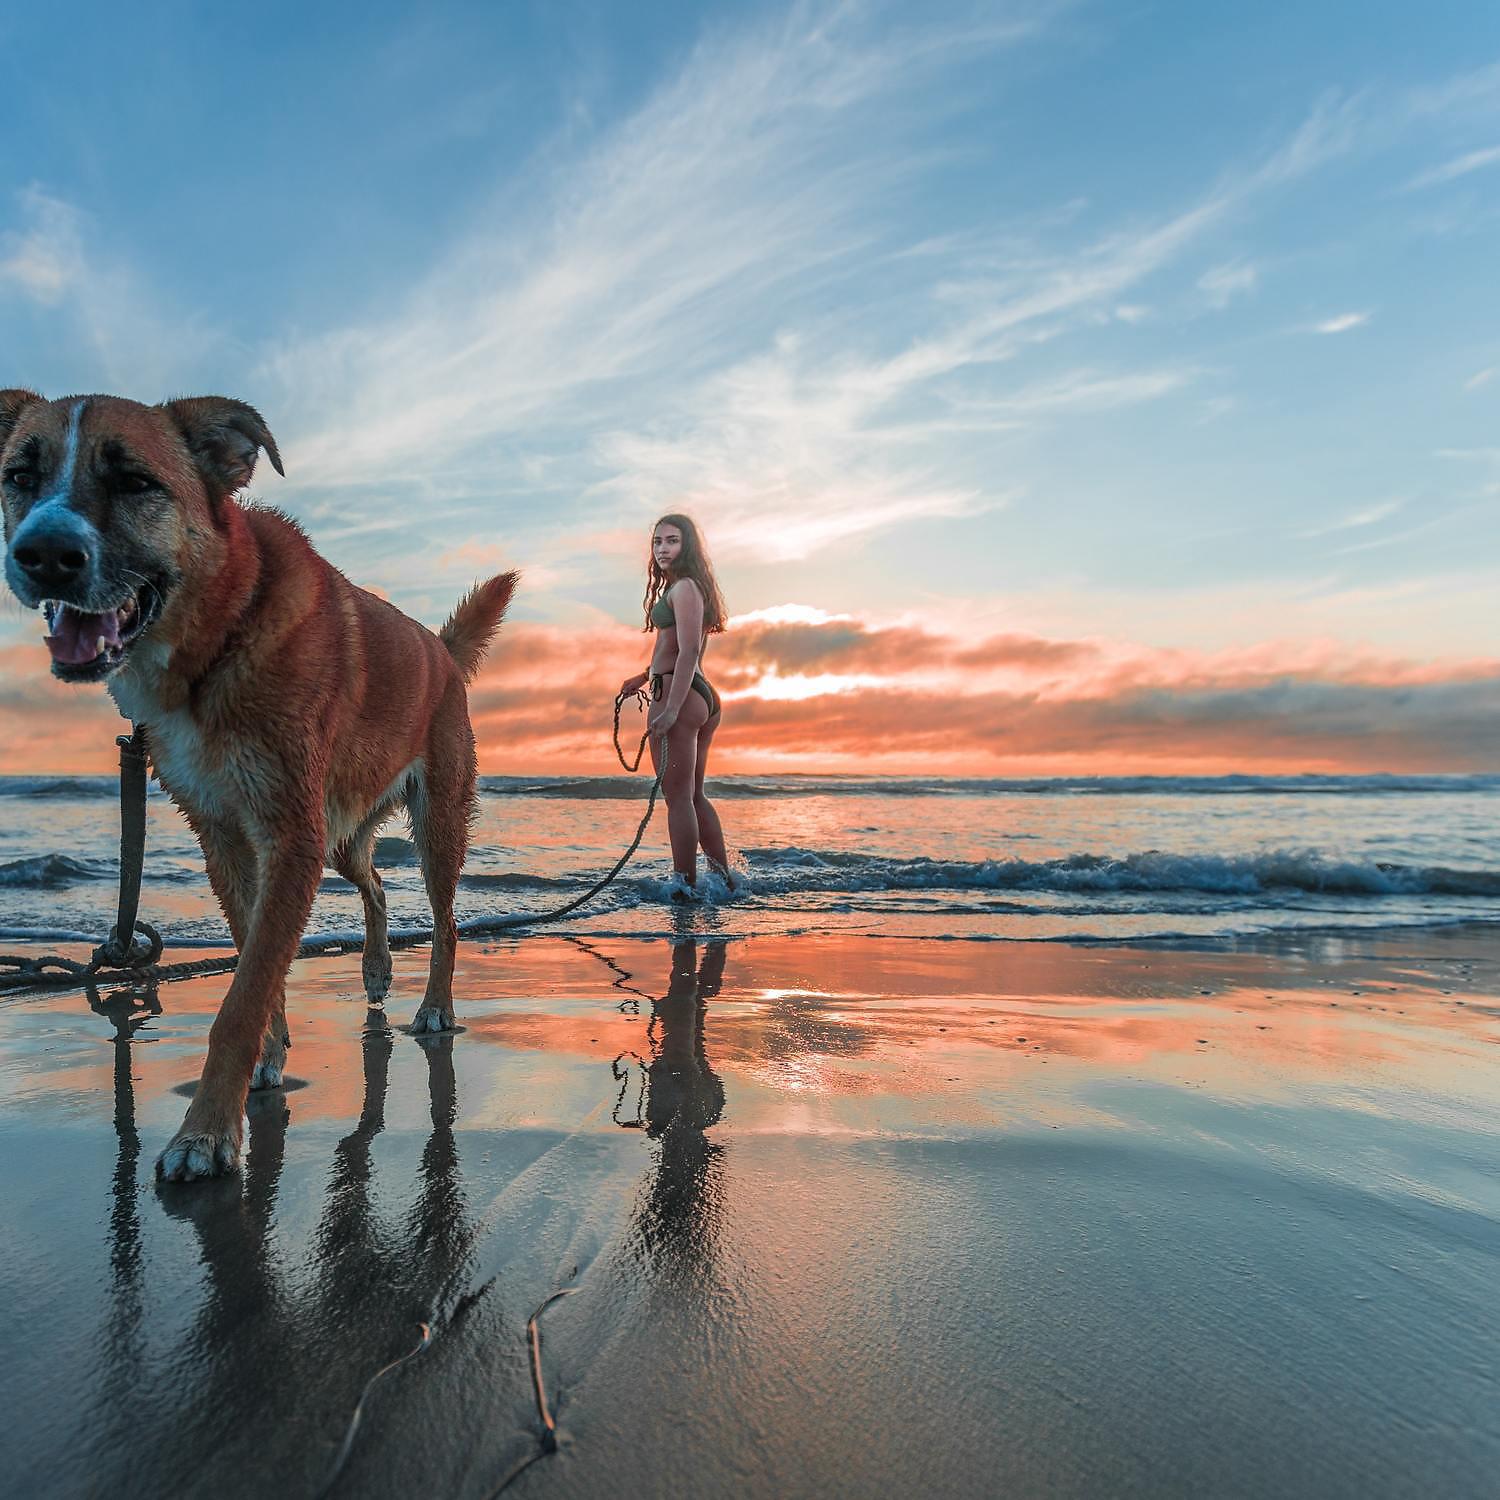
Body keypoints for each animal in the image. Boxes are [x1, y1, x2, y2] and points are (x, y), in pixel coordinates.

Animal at [1, 390, 516, 1182]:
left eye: (135, 482)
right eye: (19, 477)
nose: (43, 556)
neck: (220, 636)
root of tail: (438, 649)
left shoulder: (287, 837)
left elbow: (241, 999)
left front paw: (207, 1132)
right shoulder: (226, 837)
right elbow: (256, 960)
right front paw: (268, 1061)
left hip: (430, 824)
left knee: (446, 919)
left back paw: (433, 1007)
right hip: (338, 834)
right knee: (375, 884)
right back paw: (373, 971)